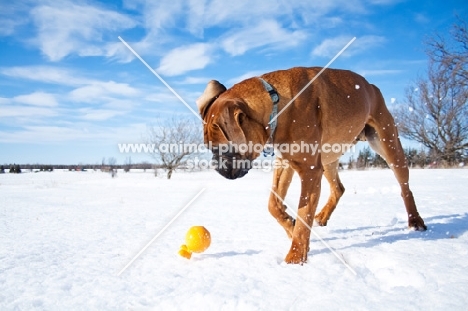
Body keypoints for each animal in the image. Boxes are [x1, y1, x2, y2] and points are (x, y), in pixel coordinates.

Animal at [196, 67, 426, 264]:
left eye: (222, 149)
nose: (216, 167)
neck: (276, 103)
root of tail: (372, 86)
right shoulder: (286, 164)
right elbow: (274, 205)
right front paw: (290, 227)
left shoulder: (309, 171)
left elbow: (303, 213)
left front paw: (295, 258)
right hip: (329, 159)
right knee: (338, 188)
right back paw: (322, 217)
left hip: (389, 145)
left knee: (405, 187)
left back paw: (415, 221)